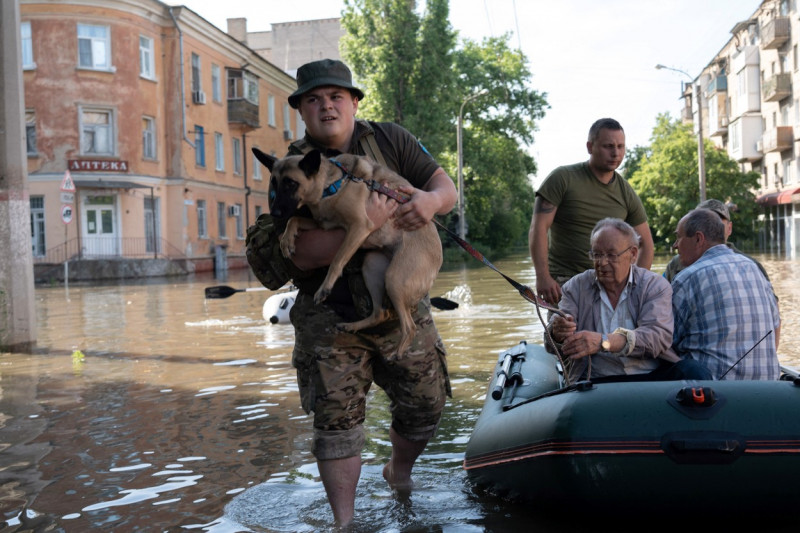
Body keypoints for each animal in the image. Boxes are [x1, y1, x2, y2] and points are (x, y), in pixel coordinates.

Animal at [255, 148, 444, 356]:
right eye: (274, 183)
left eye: (291, 183)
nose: (274, 213)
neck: (332, 185)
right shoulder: (324, 226)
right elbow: (294, 219)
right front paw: (287, 240)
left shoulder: (359, 227)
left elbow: (337, 260)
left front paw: (325, 288)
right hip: (372, 268)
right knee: (380, 313)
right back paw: (353, 326)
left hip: (395, 279)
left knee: (410, 327)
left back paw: (398, 353)